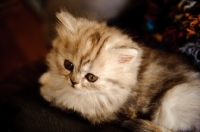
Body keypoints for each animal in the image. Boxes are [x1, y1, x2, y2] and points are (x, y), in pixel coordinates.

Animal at [39, 11, 200, 132]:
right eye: (68, 65)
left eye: (91, 77)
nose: (73, 82)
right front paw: (47, 78)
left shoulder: (101, 113)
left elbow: (65, 101)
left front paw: (47, 90)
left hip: (171, 100)